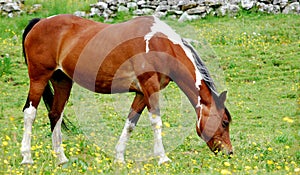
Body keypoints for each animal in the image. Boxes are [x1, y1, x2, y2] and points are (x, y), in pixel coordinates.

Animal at [21, 14, 233, 165]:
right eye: (224, 122)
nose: (229, 152)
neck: (160, 44)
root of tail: (40, 22)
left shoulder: (141, 93)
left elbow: (131, 123)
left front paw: (119, 158)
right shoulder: (150, 87)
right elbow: (156, 122)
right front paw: (163, 158)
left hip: (62, 81)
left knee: (55, 114)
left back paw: (61, 159)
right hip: (39, 78)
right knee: (30, 113)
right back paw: (27, 158)